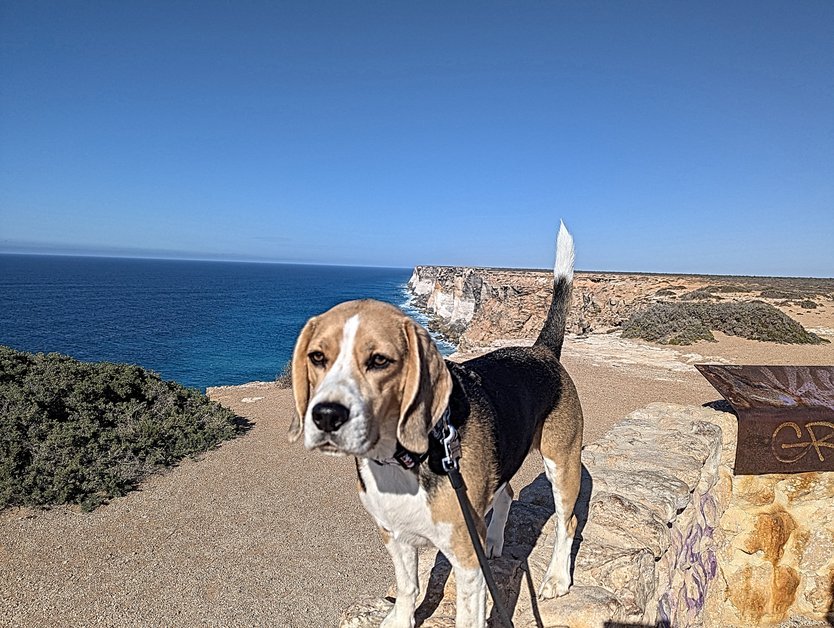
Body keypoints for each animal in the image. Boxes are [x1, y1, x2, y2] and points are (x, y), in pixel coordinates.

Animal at [290, 226, 580, 628]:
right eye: (317, 357)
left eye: (380, 361)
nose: (326, 416)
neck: (400, 461)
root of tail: (542, 351)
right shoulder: (394, 535)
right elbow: (407, 587)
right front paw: (400, 619)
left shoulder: (466, 558)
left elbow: (466, 616)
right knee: (505, 493)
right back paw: (494, 541)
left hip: (562, 463)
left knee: (567, 522)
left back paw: (556, 578)